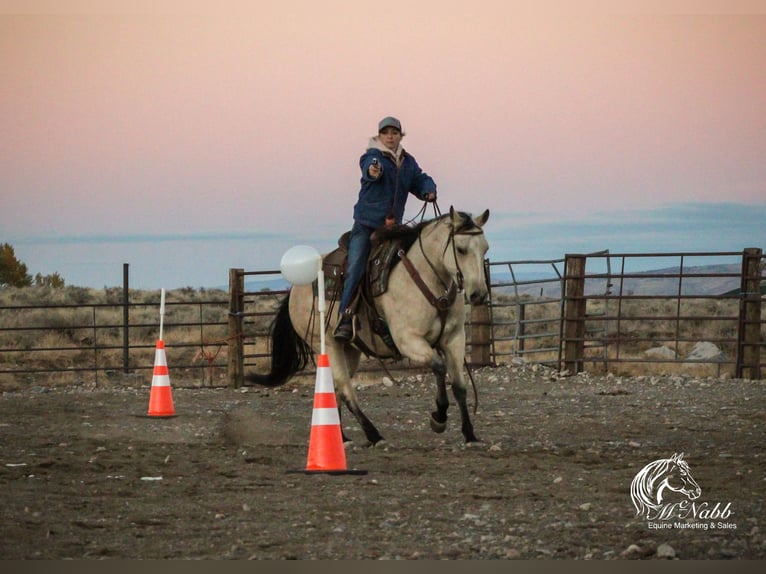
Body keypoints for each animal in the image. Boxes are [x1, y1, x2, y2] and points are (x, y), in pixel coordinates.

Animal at [246, 209, 492, 448]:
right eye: (460, 250)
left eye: (485, 248)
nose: (479, 295)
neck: (425, 279)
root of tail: (295, 290)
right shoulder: (409, 341)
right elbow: (439, 367)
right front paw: (439, 418)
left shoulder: (454, 339)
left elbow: (460, 386)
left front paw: (470, 434)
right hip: (326, 345)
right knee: (346, 390)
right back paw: (373, 435)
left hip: (349, 350)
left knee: (335, 389)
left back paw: (340, 437)